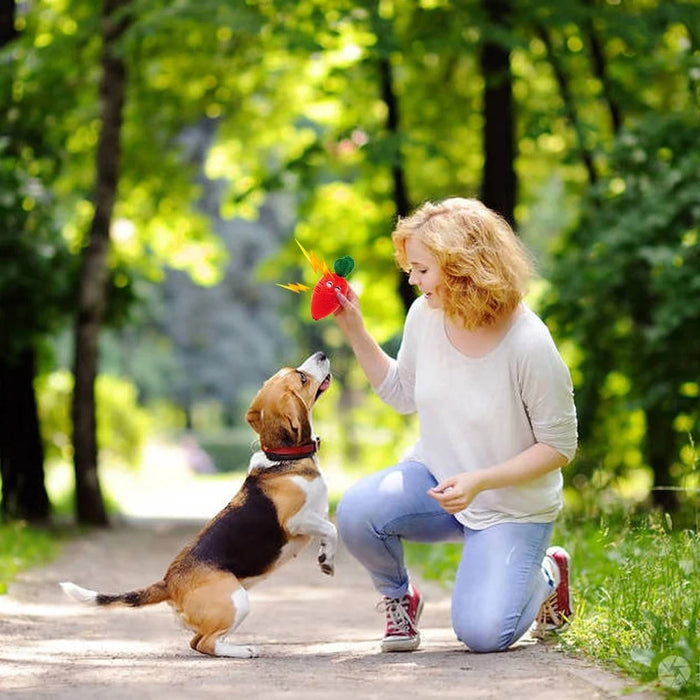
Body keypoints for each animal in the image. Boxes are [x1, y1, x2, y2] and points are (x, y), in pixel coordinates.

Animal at [58, 352, 338, 660]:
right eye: (301, 377)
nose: (322, 354)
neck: (283, 458)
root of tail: (168, 582)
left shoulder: (316, 515)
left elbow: (328, 530)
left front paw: (325, 557)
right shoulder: (297, 520)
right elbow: (332, 528)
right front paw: (328, 559)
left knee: (197, 642)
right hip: (237, 601)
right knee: (206, 643)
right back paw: (243, 651)